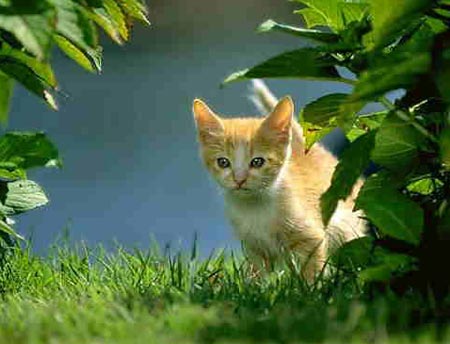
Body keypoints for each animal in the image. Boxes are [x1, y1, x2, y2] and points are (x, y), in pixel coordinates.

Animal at [191, 89, 366, 282]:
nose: (239, 179)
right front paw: (258, 286)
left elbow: (312, 269)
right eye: (223, 162)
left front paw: (313, 287)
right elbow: (259, 274)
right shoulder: (253, 247)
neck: (255, 206)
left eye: (257, 162)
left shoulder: (310, 237)